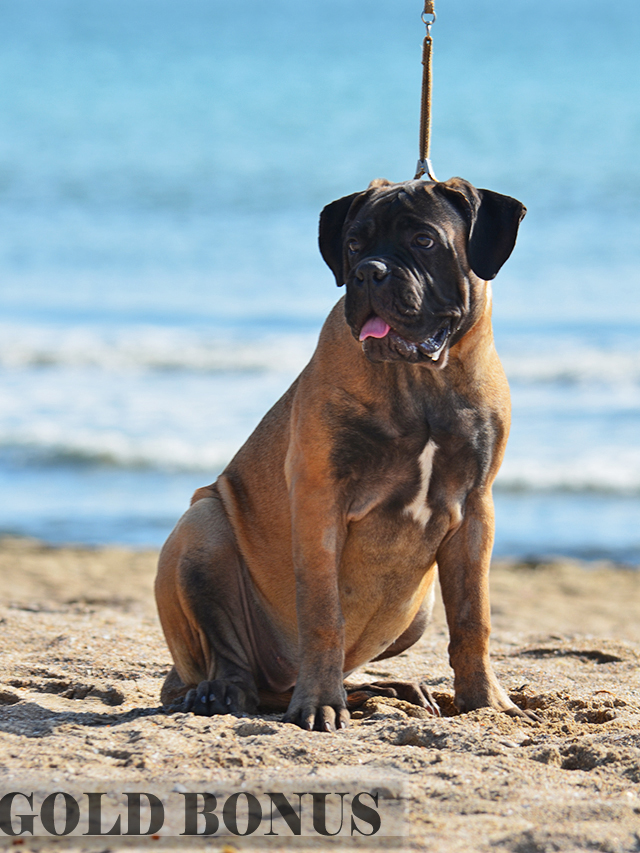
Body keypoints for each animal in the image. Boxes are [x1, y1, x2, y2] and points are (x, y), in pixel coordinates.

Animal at [156, 175, 528, 732]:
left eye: (424, 240)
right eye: (353, 244)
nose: (368, 271)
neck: (420, 383)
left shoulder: (476, 510)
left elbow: (472, 618)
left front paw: (484, 701)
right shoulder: (319, 502)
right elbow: (323, 614)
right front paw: (318, 704)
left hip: (417, 611)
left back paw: (394, 690)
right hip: (201, 526)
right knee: (223, 659)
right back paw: (222, 692)